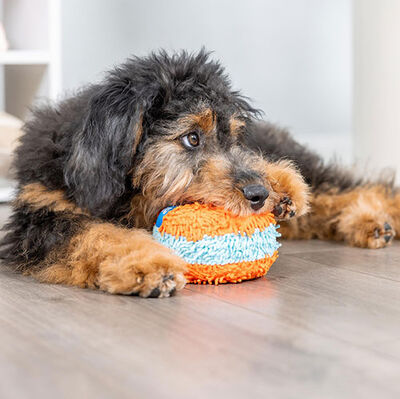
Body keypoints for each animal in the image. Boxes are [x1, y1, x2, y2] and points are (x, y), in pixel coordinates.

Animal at [1, 50, 398, 298]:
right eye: (192, 137)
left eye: (233, 137)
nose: (259, 193)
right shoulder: (39, 216)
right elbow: (96, 234)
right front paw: (147, 263)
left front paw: (280, 182)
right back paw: (367, 223)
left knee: (354, 186)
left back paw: (375, 217)